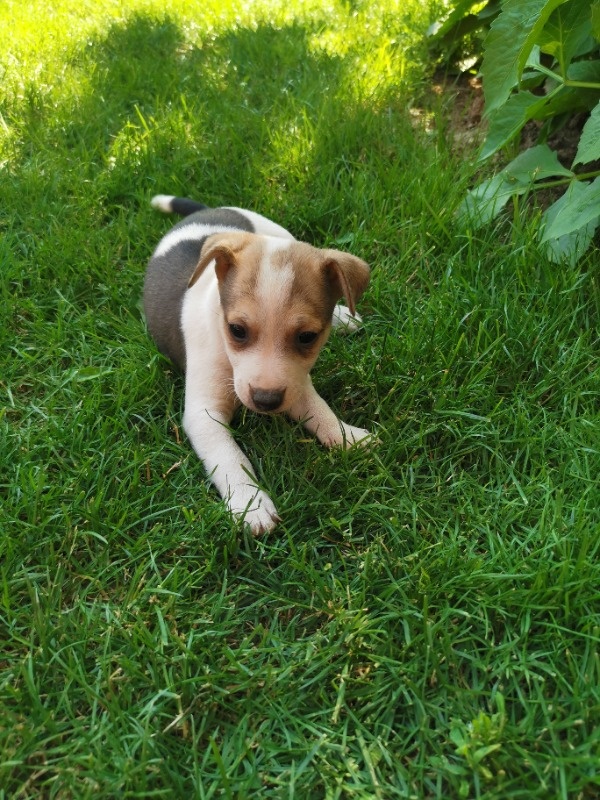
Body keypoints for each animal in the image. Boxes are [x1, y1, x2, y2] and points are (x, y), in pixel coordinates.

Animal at [143, 194, 372, 536]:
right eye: (237, 330)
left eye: (307, 337)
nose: (266, 401)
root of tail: (206, 212)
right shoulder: (204, 414)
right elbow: (229, 457)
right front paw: (250, 503)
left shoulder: (294, 384)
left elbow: (319, 409)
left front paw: (347, 436)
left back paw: (344, 316)